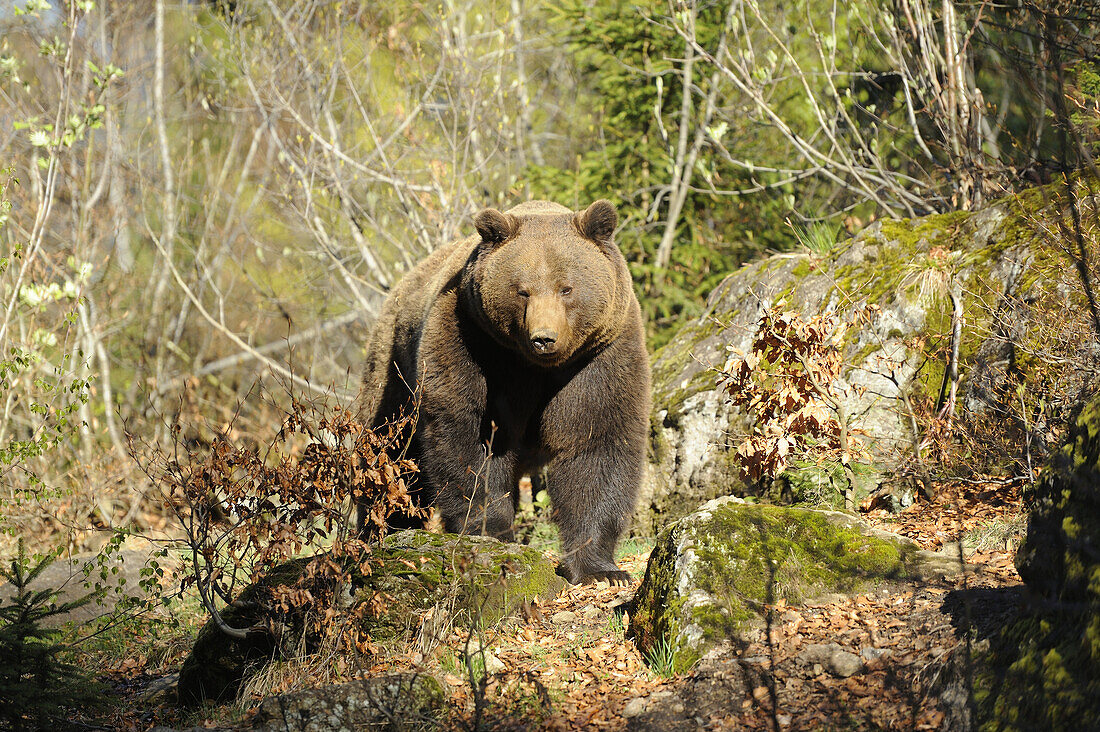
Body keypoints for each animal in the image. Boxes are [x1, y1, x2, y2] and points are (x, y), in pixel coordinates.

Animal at [358, 198, 651, 581]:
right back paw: (380, 531)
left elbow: (596, 441)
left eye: (566, 288)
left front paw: (599, 567)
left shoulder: (601, 354)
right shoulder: (475, 343)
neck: (537, 367)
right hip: (393, 371)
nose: (544, 338)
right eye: (522, 290)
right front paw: (492, 532)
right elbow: (472, 438)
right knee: (390, 456)